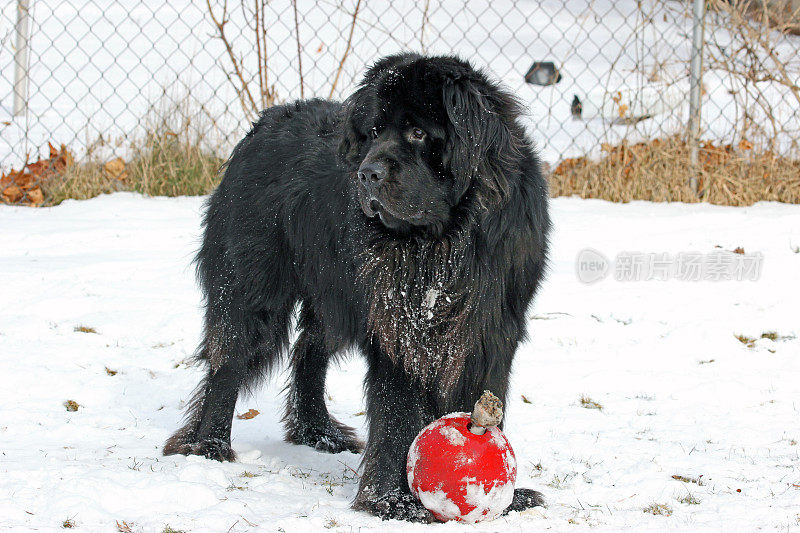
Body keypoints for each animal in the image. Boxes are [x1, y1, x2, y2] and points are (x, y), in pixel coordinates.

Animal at [162, 53, 552, 520]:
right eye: (373, 134)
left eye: (418, 132)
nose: (367, 174)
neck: (440, 243)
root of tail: (263, 124)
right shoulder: (400, 328)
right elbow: (397, 412)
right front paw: (392, 501)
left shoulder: (490, 327)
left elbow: (484, 390)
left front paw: (508, 500)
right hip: (251, 283)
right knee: (229, 359)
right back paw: (210, 445)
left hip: (336, 293)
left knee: (308, 350)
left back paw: (317, 432)